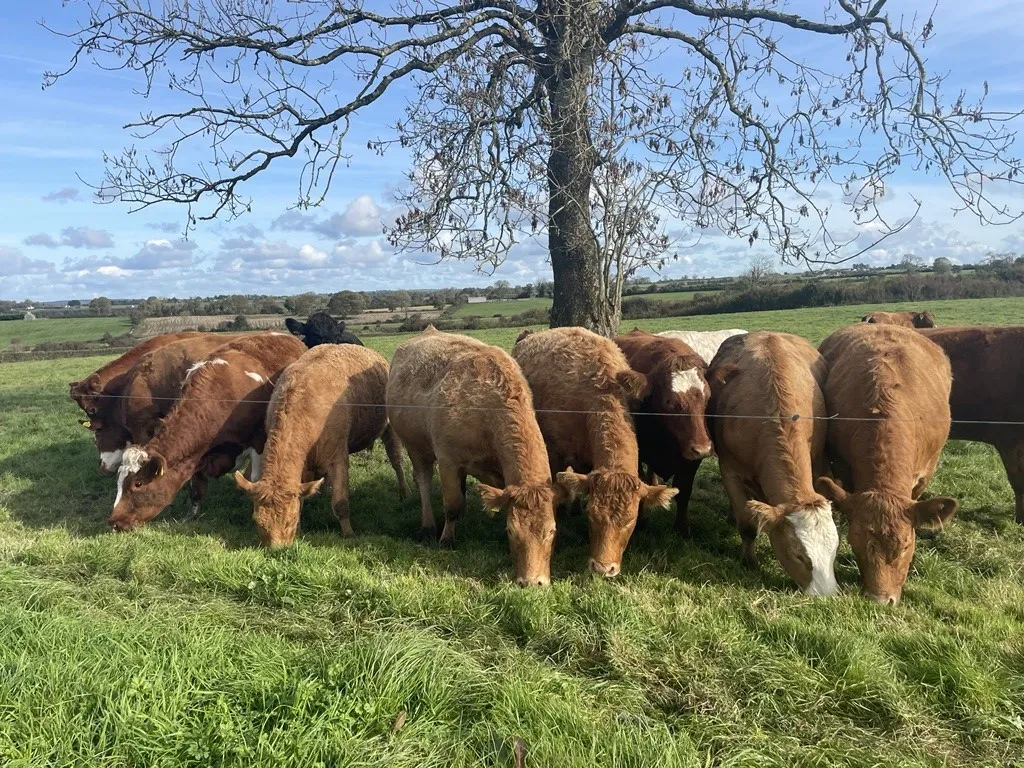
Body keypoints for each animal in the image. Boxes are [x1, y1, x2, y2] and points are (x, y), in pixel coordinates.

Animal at [107, 333, 307, 532]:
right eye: (119, 481)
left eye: (138, 483)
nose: (114, 522)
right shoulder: (195, 456)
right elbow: (196, 490)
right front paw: (190, 518)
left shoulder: (258, 442)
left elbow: (256, 479)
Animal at [235, 344, 408, 547]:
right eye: (257, 521)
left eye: (289, 521)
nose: (276, 549)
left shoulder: (338, 457)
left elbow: (340, 502)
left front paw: (348, 533)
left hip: (389, 429)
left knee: (396, 461)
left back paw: (404, 492)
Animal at [386, 327, 561, 586]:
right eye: (511, 531)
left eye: (551, 531)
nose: (532, 582)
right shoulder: (448, 460)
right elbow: (452, 504)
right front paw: (447, 538)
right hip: (416, 446)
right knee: (424, 481)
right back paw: (428, 526)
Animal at [614, 328, 713, 537]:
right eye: (669, 402)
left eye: (708, 397)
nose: (702, 448)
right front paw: (640, 521)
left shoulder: (692, 460)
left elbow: (684, 490)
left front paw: (682, 527)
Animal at [708, 331, 839, 596]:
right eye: (799, 556)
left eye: (834, 553)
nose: (828, 595)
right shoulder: (730, 471)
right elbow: (747, 525)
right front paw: (750, 562)